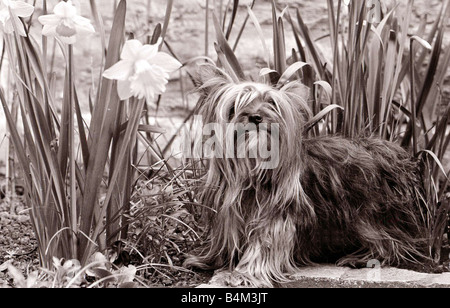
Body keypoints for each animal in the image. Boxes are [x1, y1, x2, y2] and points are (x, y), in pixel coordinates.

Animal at [185, 65, 430, 288]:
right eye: (236, 105)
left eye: (271, 103)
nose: (256, 117)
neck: (252, 165)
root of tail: (388, 150)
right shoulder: (228, 210)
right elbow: (226, 238)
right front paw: (210, 260)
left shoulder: (276, 215)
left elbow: (264, 244)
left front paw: (244, 275)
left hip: (371, 213)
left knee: (391, 242)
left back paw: (361, 257)